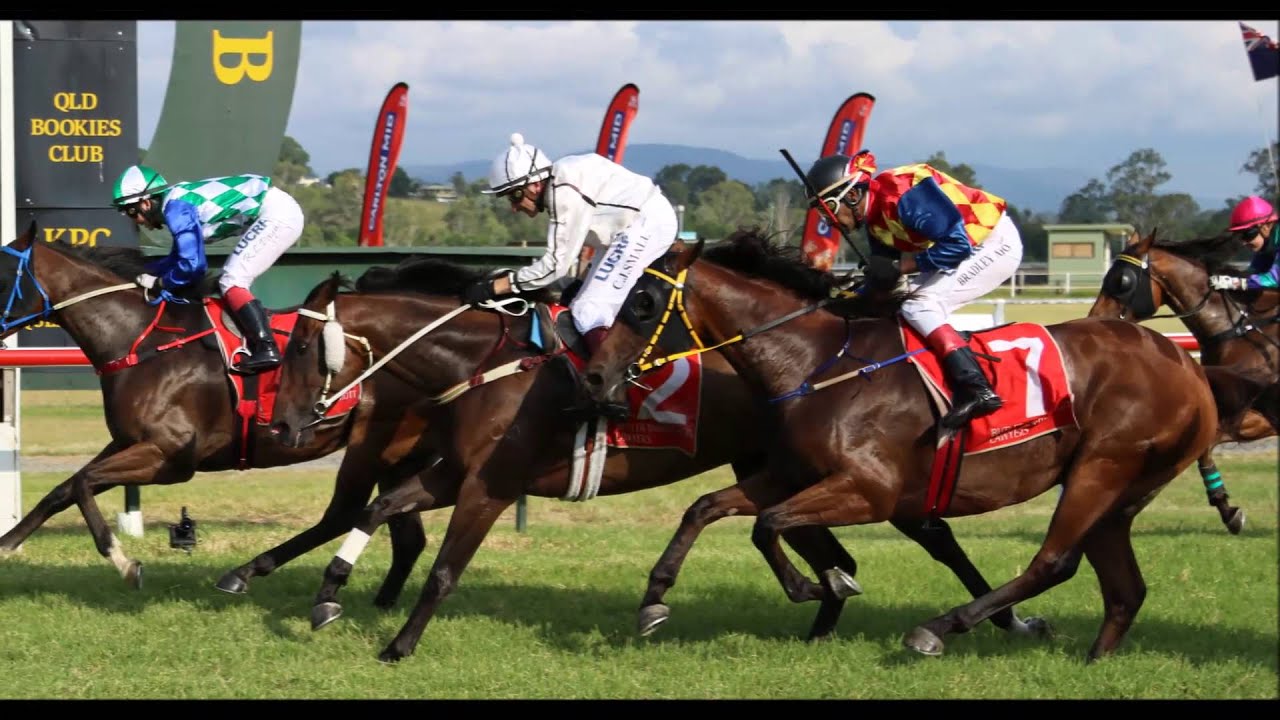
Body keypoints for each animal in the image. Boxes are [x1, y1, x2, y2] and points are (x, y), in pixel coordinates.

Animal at [0, 220, 437, 611]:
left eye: (2, 277)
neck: (141, 342)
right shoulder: (128, 443)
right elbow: (64, 490)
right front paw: (6, 545)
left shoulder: (170, 457)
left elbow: (83, 483)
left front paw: (125, 564)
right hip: (397, 455)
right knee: (406, 534)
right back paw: (383, 602)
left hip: (370, 447)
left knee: (345, 515)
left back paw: (251, 576)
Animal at [266, 258, 1049, 663]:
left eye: (299, 346)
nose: (283, 425)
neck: (482, 366)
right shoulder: (448, 473)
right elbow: (378, 507)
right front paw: (329, 594)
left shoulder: (489, 486)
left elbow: (444, 571)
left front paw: (399, 643)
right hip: (783, 470)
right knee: (829, 548)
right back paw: (825, 614)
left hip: (839, 473)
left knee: (929, 535)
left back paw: (998, 622)